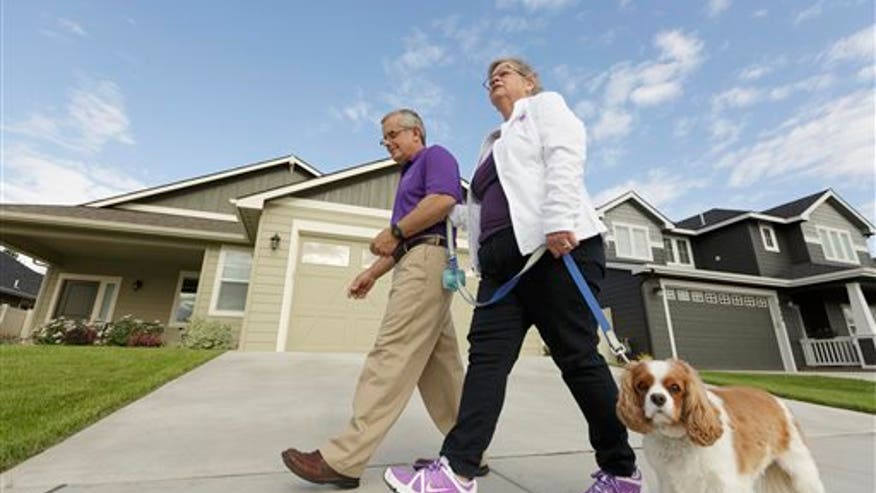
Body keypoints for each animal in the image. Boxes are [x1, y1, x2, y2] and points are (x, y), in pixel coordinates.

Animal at [612, 358, 824, 492]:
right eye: (642, 386)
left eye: (675, 388)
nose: (657, 398)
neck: (677, 437)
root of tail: (774, 398)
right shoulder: (671, 482)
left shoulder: (727, 483)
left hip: (801, 471)